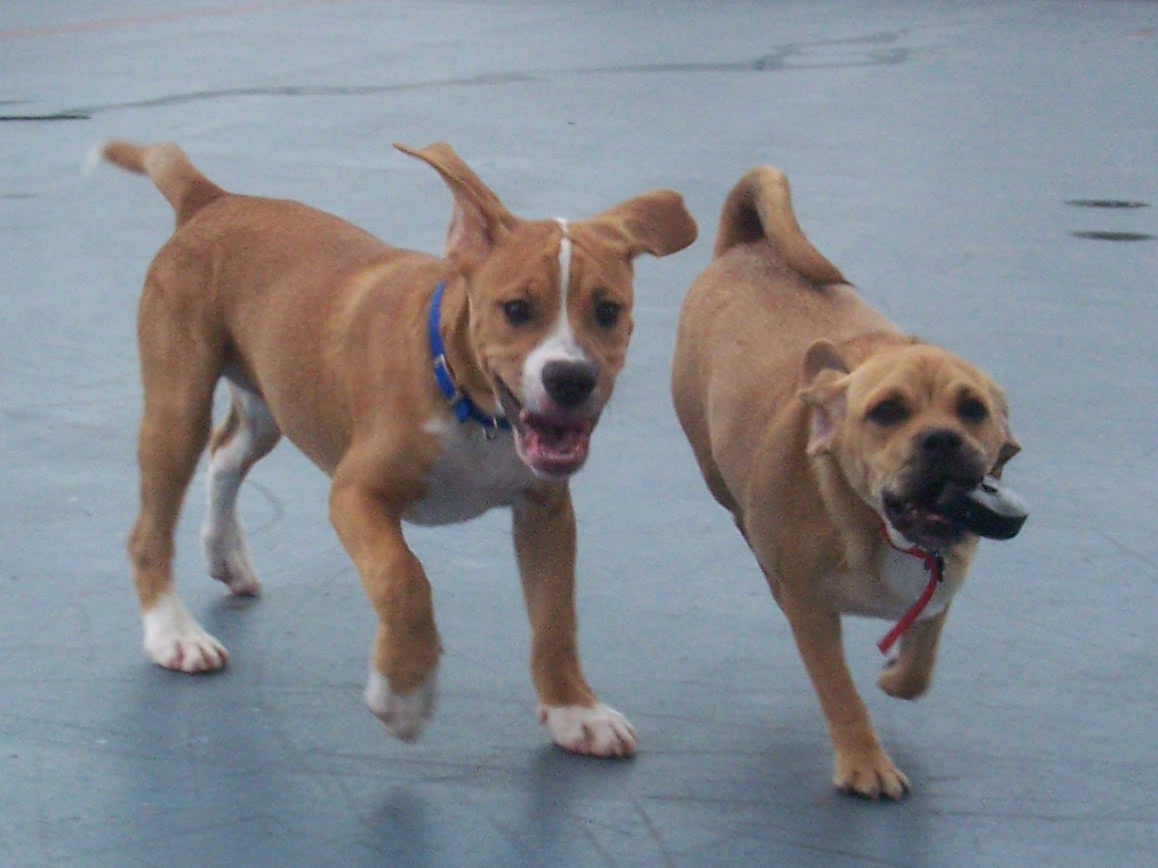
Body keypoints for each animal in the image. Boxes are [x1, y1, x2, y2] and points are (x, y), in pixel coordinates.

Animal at [104, 139, 694, 759]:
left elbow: (556, 618)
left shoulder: (547, 511)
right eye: (516, 310)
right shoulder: (355, 493)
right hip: (178, 407)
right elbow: (403, 576)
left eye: (608, 311)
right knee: (150, 529)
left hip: (272, 403)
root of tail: (214, 200)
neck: (474, 409)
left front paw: (573, 709)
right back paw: (173, 633)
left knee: (226, 452)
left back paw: (225, 554)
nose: (571, 379)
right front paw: (405, 692)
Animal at [671, 166, 1023, 800]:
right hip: (717, 475)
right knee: (743, 522)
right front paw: (865, 762)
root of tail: (747, 245)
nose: (942, 439)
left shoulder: (944, 585)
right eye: (886, 412)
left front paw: (899, 675)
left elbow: (922, 658)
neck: (880, 528)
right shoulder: (812, 611)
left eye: (972, 410)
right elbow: (840, 692)